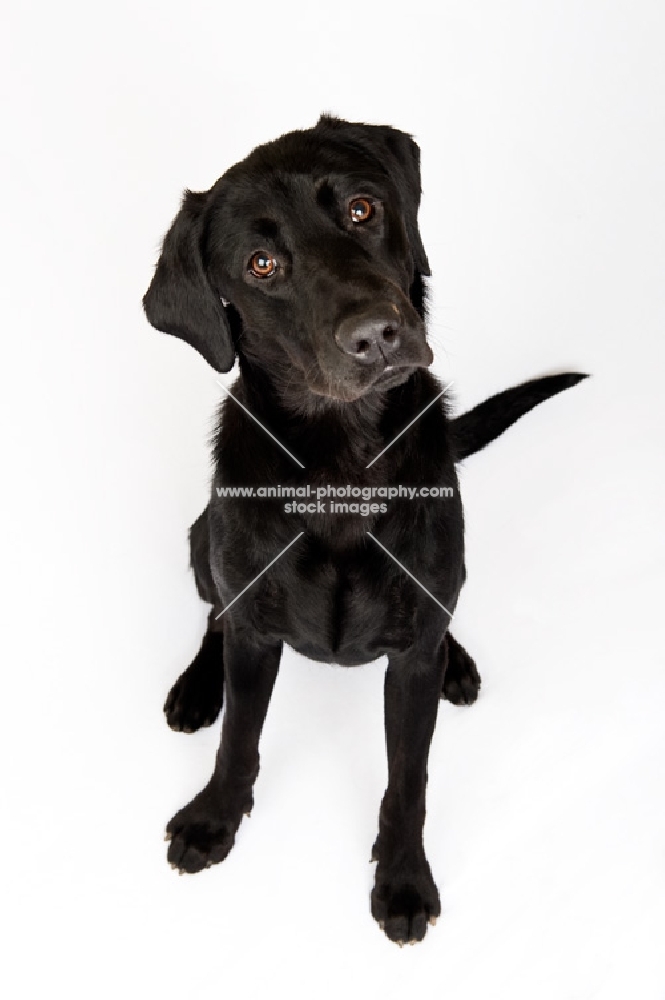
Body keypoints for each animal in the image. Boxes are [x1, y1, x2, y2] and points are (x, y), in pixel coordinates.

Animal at [143, 117, 584, 944]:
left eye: (360, 209)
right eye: (261, 264)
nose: (376, 335)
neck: (342, 466)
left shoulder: (408, 658)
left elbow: (406, 776)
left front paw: (402, 877)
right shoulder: (256, 634)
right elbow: (238, 738)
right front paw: (215, 818)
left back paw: (457, 662)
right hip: (198, 541)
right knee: (213, 613)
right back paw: (195, 686)